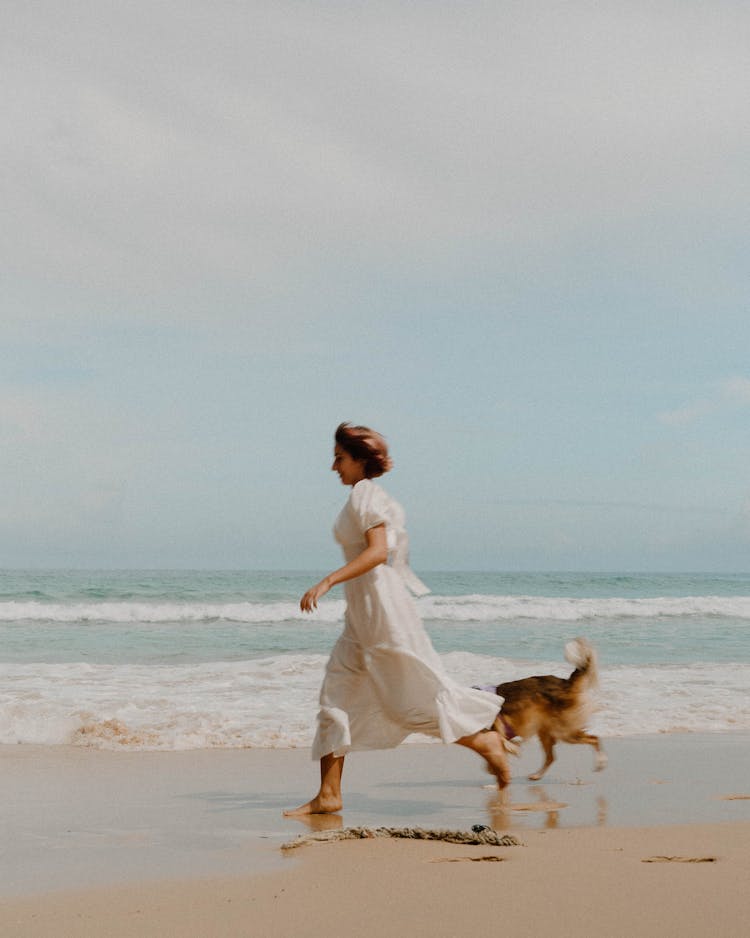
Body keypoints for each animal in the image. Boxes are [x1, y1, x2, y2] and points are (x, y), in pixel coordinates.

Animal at [478, 636, 608, 784]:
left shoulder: (497, 728)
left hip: (564, 731)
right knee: (551, 757)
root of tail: (565, 683)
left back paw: (600, 762)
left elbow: (501, 745)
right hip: (546, 731)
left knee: (594, 738)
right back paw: (537, 775)